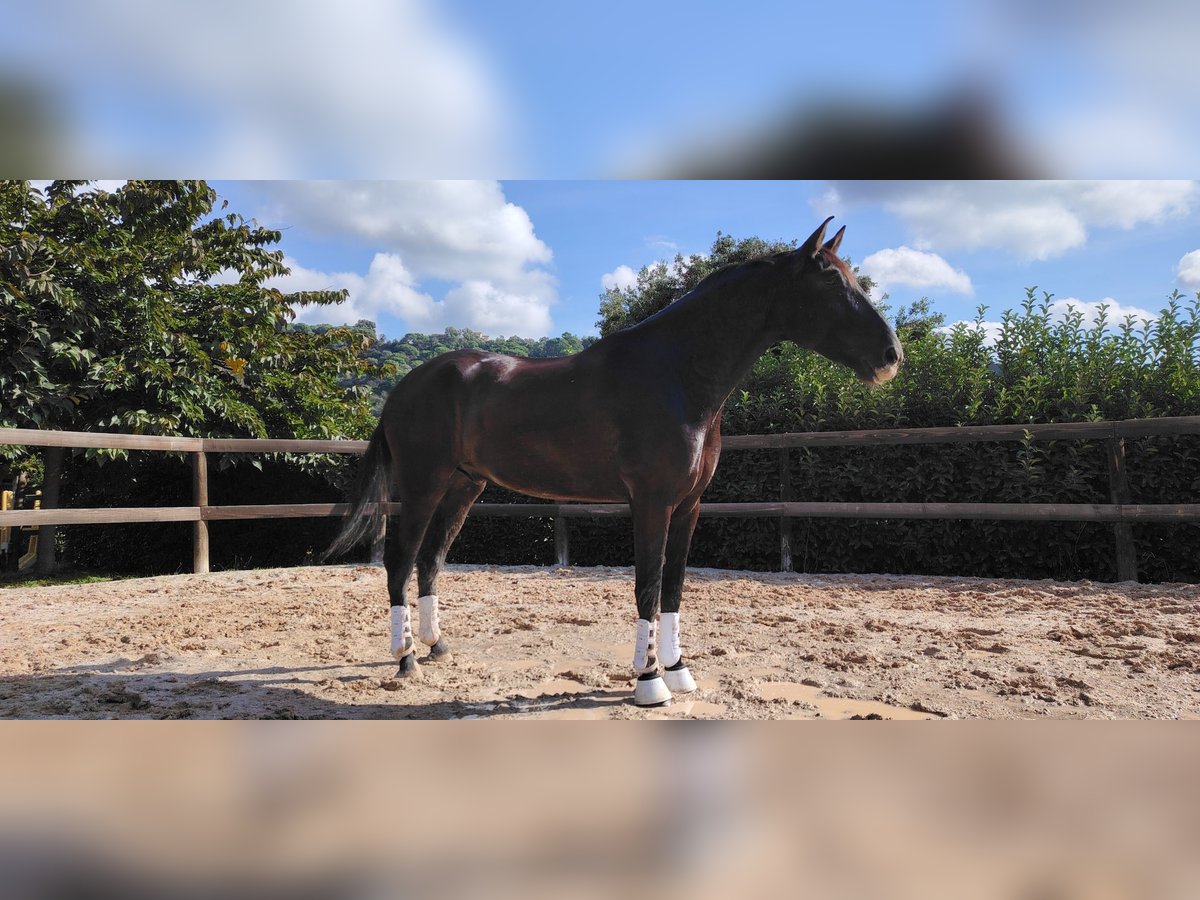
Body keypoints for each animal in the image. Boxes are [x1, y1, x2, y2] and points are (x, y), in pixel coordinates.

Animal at [325, 217, 903, 707]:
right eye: (831, 282)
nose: (891, 356)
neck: (677, 377)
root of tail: (406, 386)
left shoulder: (689, 507)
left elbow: (674, 586)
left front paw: (679, 671)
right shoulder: (650, 502)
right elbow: (646, 585)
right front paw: (649, 682)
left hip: (465, 486)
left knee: (430, 560)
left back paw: (436, 647)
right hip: (423, 484)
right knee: (401, 560)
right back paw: (405, 660)